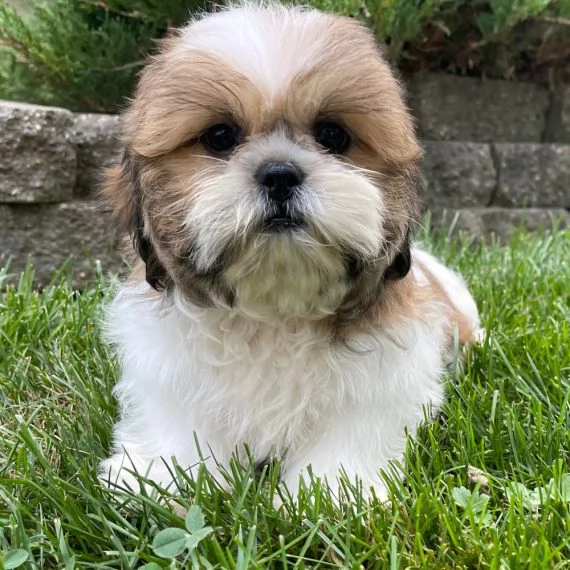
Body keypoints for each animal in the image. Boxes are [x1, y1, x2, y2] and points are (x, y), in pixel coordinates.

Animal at [98, 1, 480, 496]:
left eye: (333, 136)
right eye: (220, 137)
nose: (279, 173)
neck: (275, 311)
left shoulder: (381, 378)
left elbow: (353, 428)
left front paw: (335, 491)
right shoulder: (168, 365)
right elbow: (178, 421)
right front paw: (163, 477)